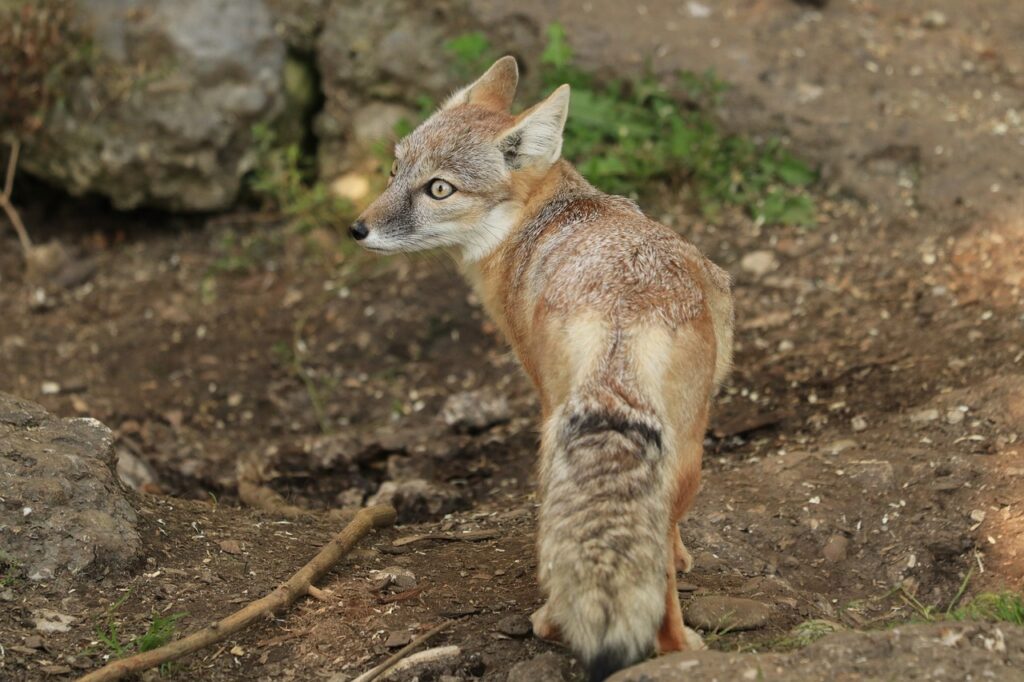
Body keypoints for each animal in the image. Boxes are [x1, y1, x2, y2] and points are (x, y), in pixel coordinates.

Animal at [350, 56, 734, 680]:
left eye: (438, 189)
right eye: (392, 171)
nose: (357, 229)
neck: (540, 218)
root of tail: (622, 317)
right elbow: (668, 535)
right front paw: (683, 555)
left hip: (561, 440)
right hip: (682, 451)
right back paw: (674, 643)